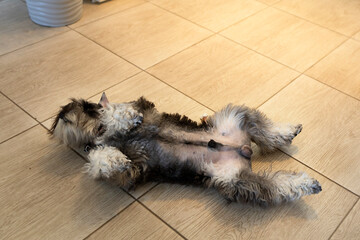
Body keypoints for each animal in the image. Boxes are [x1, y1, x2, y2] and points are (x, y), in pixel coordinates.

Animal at [50, 94, 320, 206]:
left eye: (78, 108)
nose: (57, 120)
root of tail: (244, 151)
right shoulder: (132, 173)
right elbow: (104, 160)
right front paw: (112, 159)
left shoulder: (143, 108)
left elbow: (119, 112)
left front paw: (117, 118)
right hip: (236, 181)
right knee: (276, 185)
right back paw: (306, 182)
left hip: (237, 118)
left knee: (268, 131)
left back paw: (290, 131)